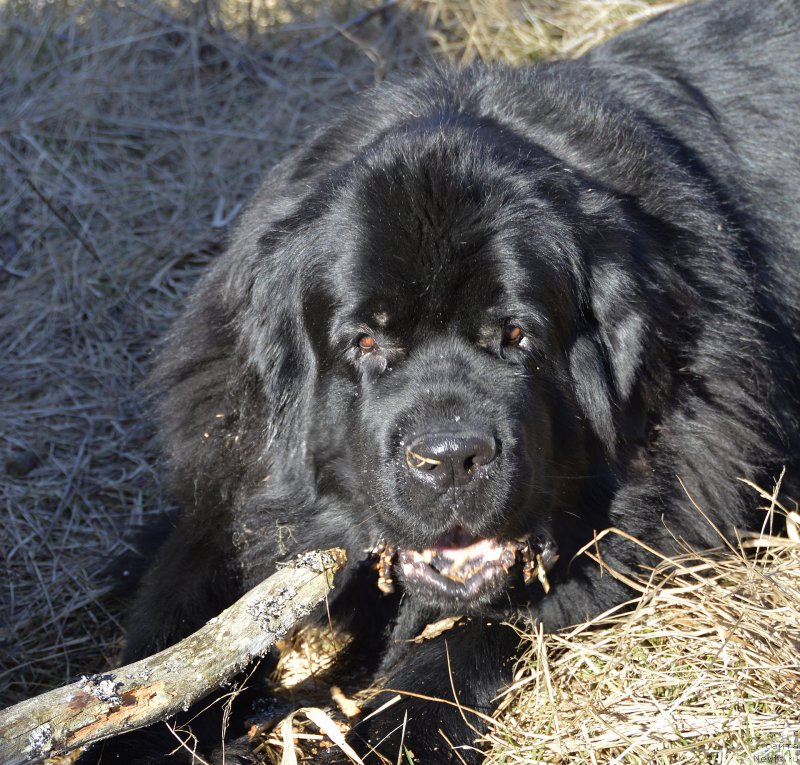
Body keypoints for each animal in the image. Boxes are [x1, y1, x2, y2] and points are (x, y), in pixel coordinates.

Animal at [83, 0, 800, 760]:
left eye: (516, 335)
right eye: (367, 342)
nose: (451, 457)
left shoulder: (673, 481)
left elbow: (471, 632)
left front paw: (388, 728)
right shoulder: (229, 471)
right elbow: (181, 628)